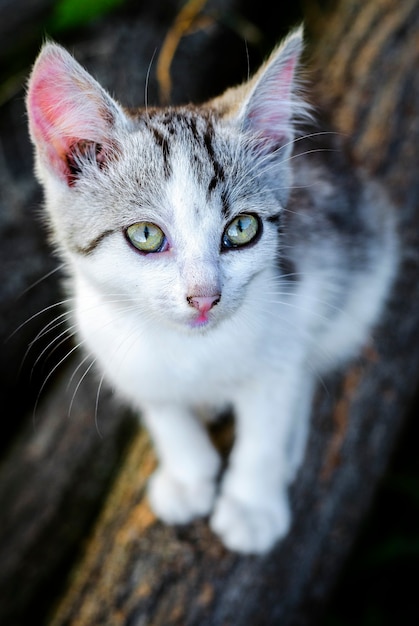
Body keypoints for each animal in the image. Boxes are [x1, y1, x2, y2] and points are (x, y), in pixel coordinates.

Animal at [25, 29, 398, 552]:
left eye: (241, 228)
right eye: (145, 235)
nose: (204, 297)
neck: (191, 348)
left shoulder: (287, 321)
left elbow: (266, 424)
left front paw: (252, 504)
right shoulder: (112, 346)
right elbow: (162, 409)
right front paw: (188, 474)